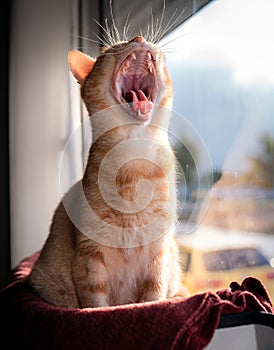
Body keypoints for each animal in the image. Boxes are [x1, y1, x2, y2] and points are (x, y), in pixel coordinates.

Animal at [28, 36, 188, 308]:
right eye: (109, 50)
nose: (138, 38)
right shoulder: (90, 256)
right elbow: (96, 303)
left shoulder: (159, 255)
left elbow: (153, 297)